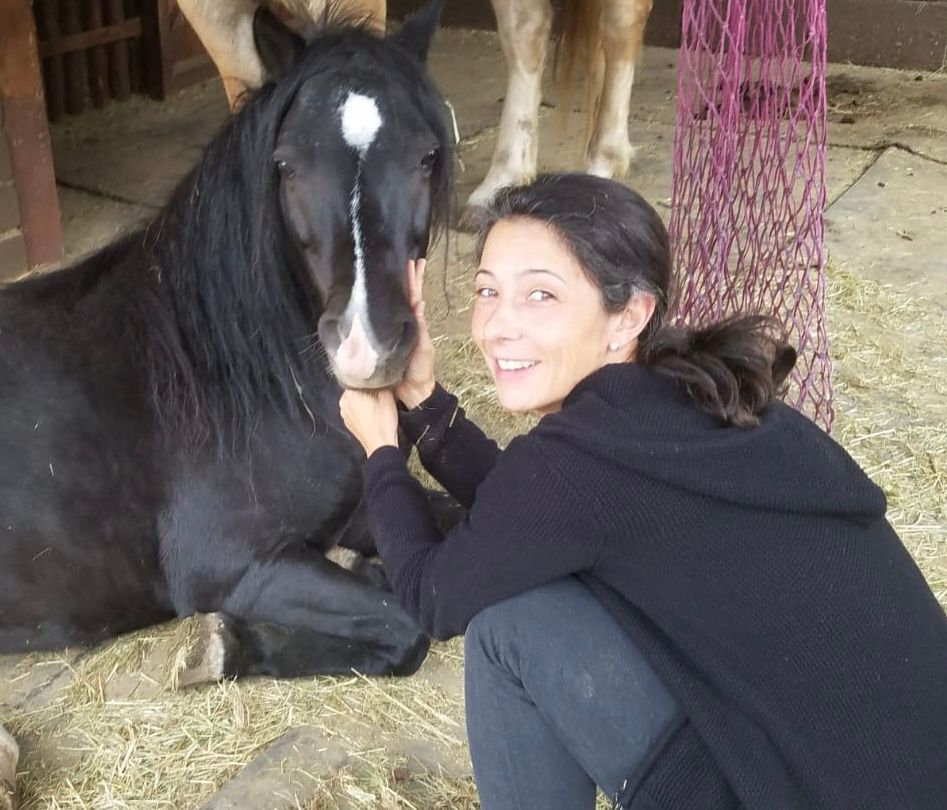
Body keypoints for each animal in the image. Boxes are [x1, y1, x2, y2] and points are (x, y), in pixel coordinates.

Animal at [0, 1, 458, 686]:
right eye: (286, 165)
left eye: (427, 157)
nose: (367, 345)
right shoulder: (237, 566)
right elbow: (404, 627)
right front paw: (223, 646)